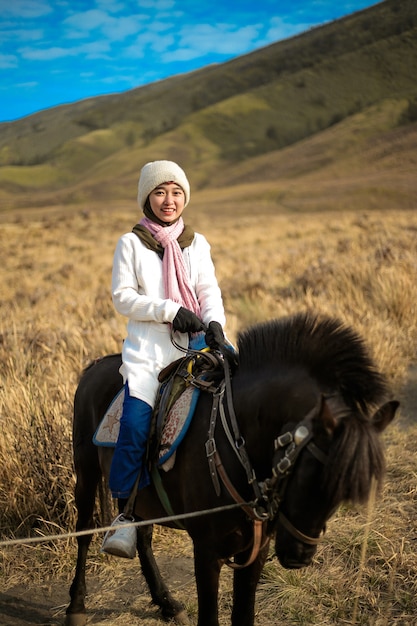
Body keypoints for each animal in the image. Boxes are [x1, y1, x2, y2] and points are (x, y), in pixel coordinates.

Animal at [65, 312, 396, 624]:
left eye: (343, 494)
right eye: (310, 478)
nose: (299, 557)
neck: (236, 444)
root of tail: (94, 367)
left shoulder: (256, 549)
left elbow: (243, 616)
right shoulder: (207, 552)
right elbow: (210, 618)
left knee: (143, 536)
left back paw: (167, 602)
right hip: (86, 470)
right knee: (84, 532)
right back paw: (76, 606)